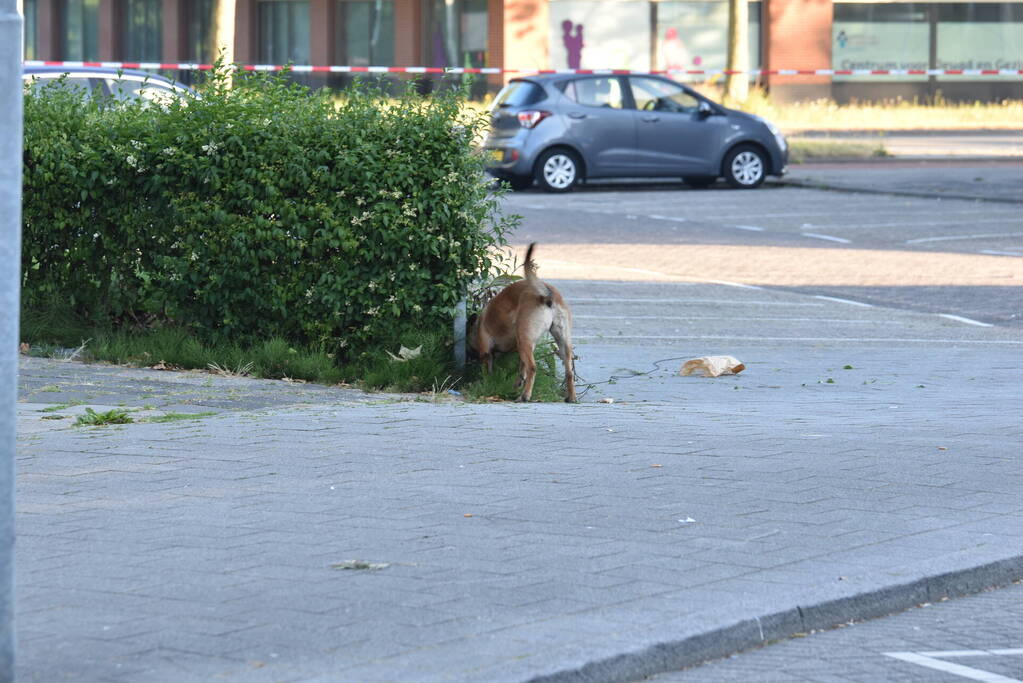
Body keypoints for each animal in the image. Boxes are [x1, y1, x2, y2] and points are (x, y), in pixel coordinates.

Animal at [470, 242, 576, 402]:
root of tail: (546, 294)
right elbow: (521, 368)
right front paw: (516, 384)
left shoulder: (486, 352)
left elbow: (489, 370)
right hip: (562, 340)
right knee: (569, 371)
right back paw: (571, 397)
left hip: (524, 338)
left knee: (532, 367)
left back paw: (525, 396)